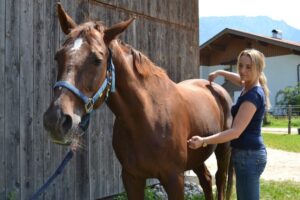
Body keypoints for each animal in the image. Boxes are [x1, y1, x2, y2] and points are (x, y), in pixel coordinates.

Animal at [43, 3, 233, 200]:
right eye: (58, 56)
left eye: (97, 60)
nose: (55, 120)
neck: (147, 118)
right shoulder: (131, 177)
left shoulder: (174, 178)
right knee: (206, 179)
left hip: (223, 148)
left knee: (219, 179)